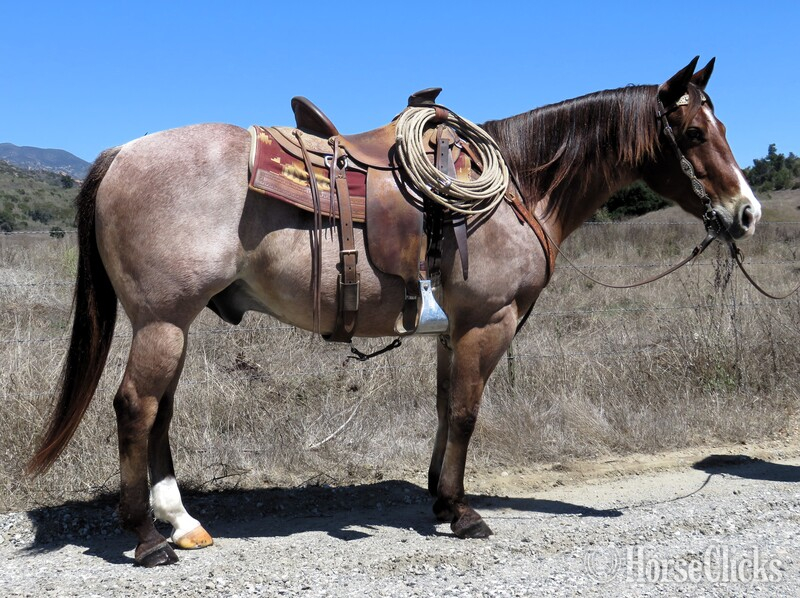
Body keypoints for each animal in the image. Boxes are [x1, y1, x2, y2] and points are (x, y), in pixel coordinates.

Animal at [27, 57, 760, 567]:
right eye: (694, 131)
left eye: (721, 125)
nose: (746, 212)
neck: (522, 185)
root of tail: (123, 152)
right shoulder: (488, 323)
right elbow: (465, 413)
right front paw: (462, 513)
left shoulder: (454, 330)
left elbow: (444, 410)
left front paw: (439, 496)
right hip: (162, 321)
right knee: (136, 409)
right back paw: (147, 537)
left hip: (171, 325)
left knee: (159, 414)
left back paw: (182, 524)